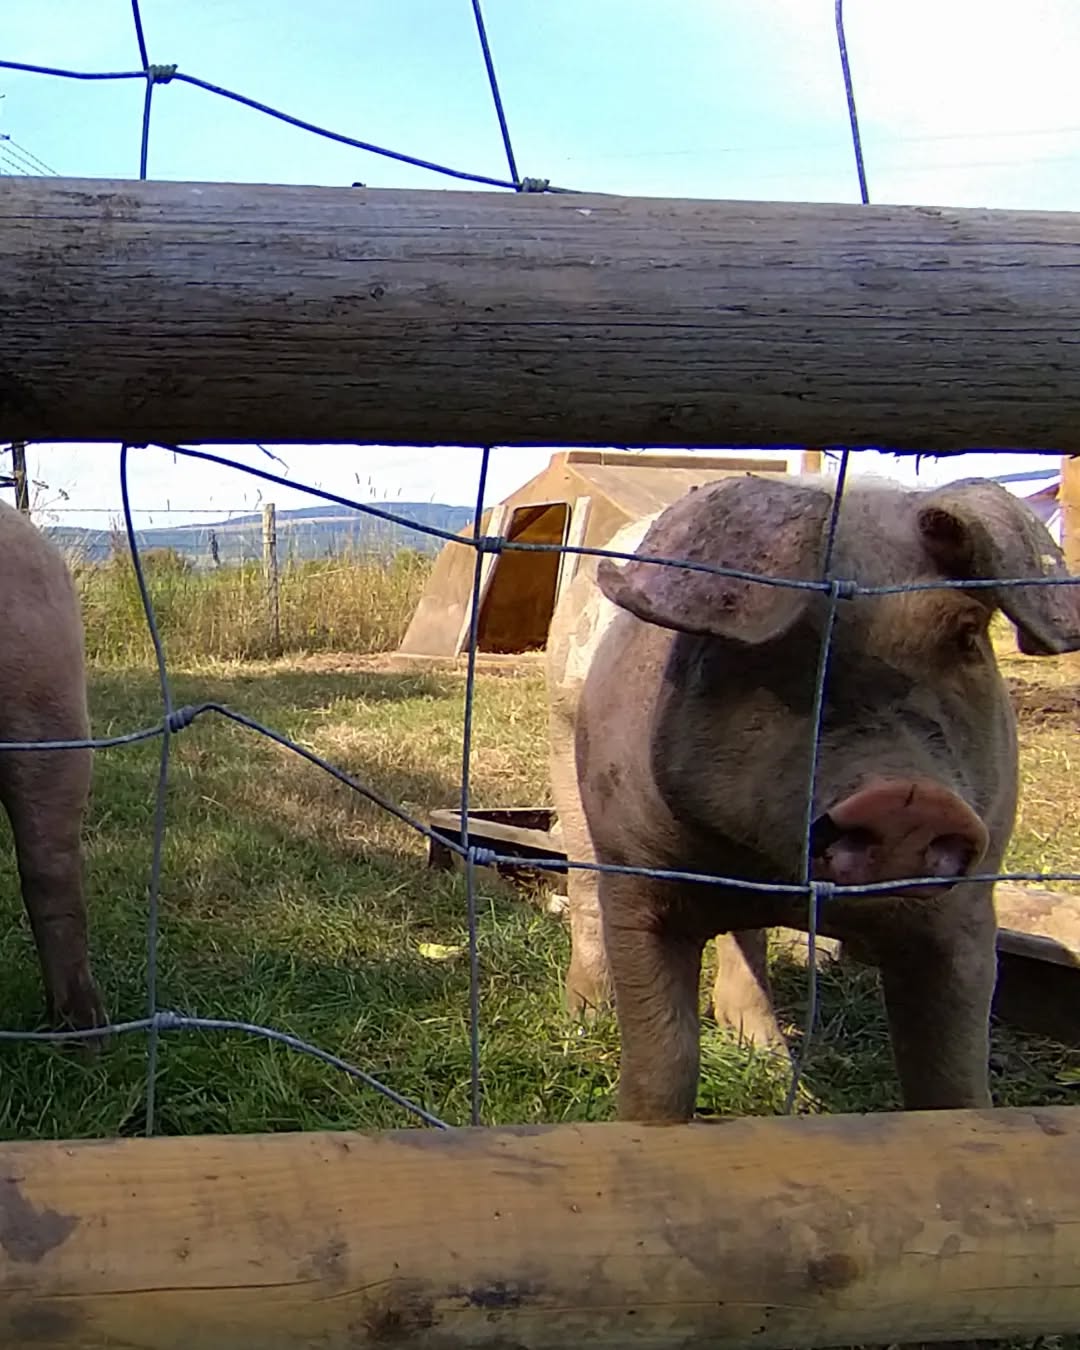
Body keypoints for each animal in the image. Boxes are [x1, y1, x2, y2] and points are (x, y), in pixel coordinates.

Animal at [546, 470, 1080, 1123]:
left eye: (967, 634)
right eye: (785, 645)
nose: (908, 798)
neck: (771, 872)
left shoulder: (967, 906)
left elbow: (954, 1083)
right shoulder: (637, 874)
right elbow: (662, 1063)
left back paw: (770, 1056)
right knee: (584, 889)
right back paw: (583, 1019)